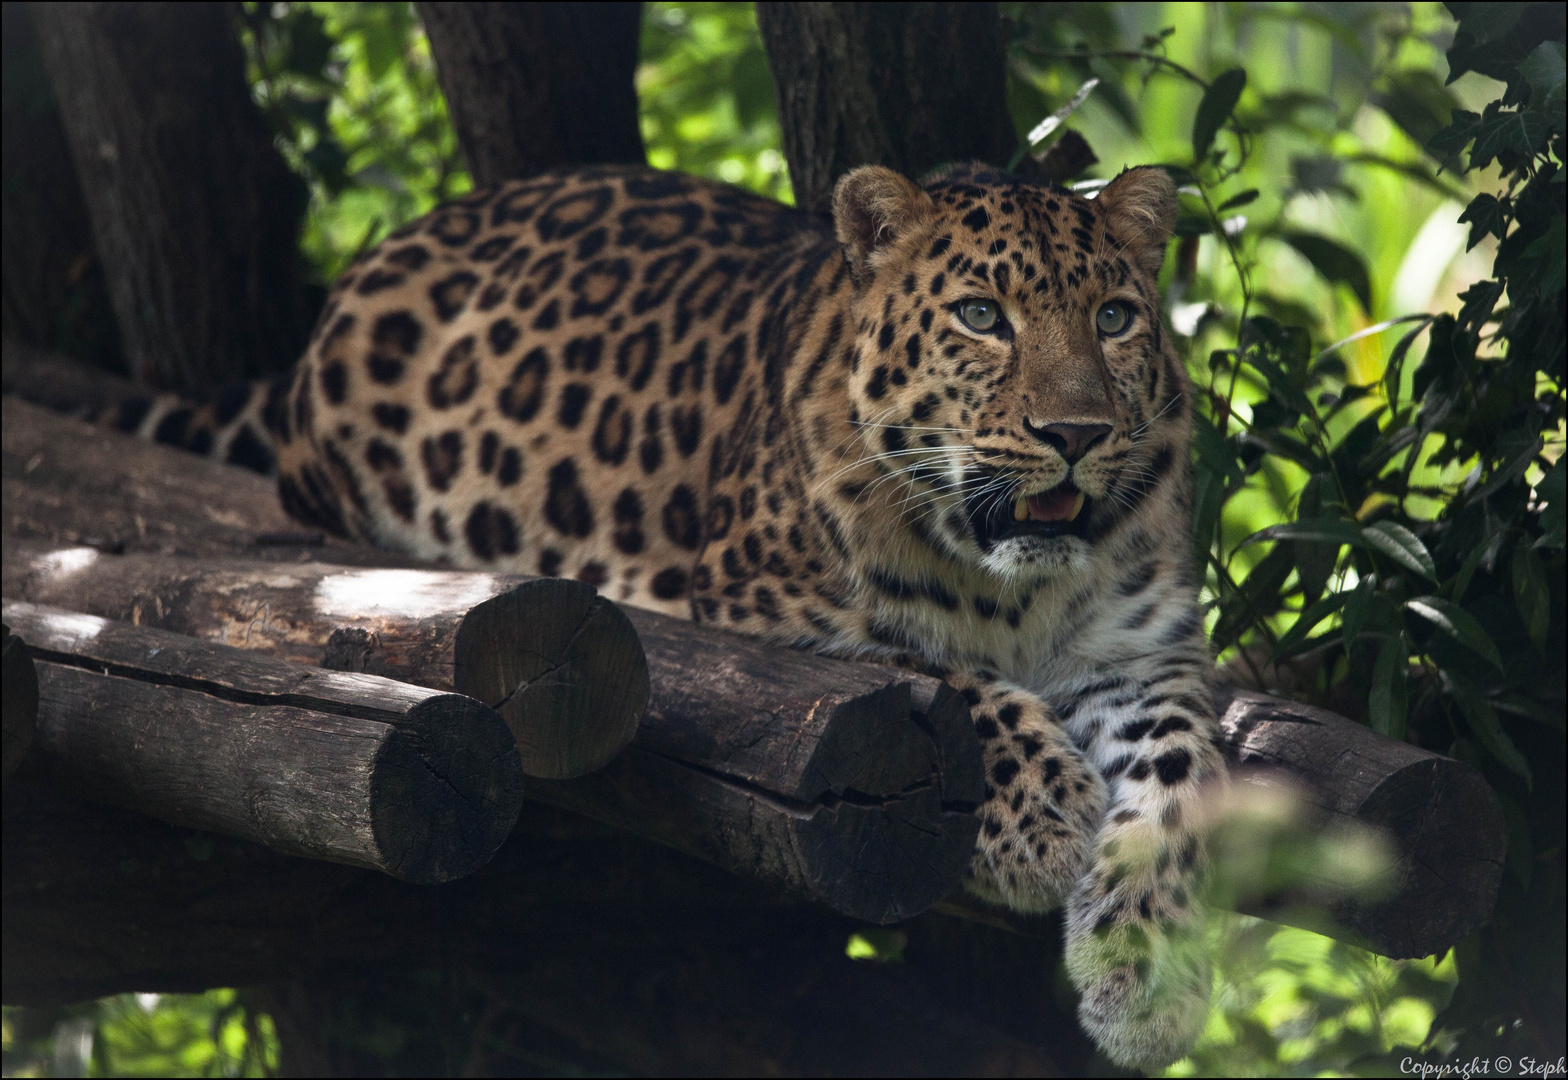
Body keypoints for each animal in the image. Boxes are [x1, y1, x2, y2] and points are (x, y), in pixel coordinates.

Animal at [110, 158, 1229, 1059]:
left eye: (1114, 318)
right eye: (981, 317)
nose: (1076, 434)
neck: (1013, 588)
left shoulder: (1147, 652)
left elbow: (1183, 778)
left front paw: (1149, 975)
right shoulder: (757, 617)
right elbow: (934, 672)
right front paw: (1042, 812)